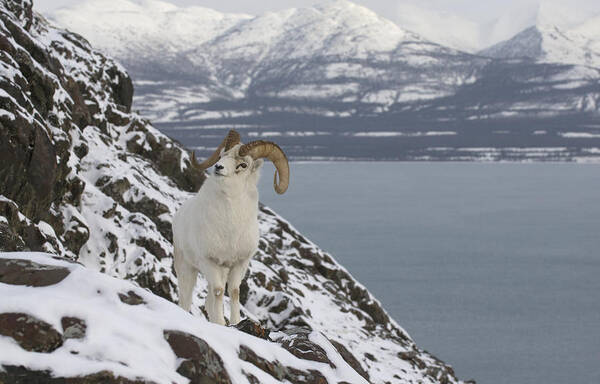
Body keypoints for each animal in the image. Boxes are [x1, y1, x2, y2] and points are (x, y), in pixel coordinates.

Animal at [172, 130, 290, 324]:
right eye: (221, 156)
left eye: (243, 164)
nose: (218, 167)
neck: (230, 227)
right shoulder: (210, 262)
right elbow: (219, 292)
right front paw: (221, 324)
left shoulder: (239, 264)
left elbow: (234, 292)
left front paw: (234, 322)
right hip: (187, 269)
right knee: (186, 299)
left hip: (220, 271)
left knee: (208, 300)